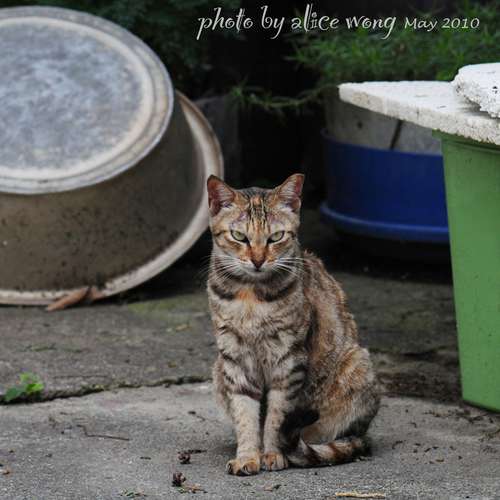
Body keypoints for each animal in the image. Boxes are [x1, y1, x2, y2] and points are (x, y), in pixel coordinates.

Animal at [206, 173, 379, 475]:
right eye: (239, 236)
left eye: (276, 237)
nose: (258, 260)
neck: (250, 296)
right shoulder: (235, 359)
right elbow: (245, 414)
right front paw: (248, 456)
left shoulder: (289, 360)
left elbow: (276, 416)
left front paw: (272, 454)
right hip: (219, 370)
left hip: (357, 364)